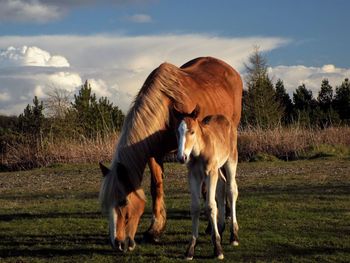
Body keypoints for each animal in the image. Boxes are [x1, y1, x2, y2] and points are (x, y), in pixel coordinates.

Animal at [174, 106, 239, 260]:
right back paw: (220, 229)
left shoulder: (210, 173)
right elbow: (195, 207)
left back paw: (233, 235)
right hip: (218, 168)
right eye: (177, 132)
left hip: (231, 161)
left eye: (192, 131)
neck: (199, 150)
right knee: (221, 186)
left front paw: (218, 248)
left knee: (231, 189)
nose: (181, 157)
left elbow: (210, 206)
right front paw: (191, 248)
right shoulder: (193, 175)